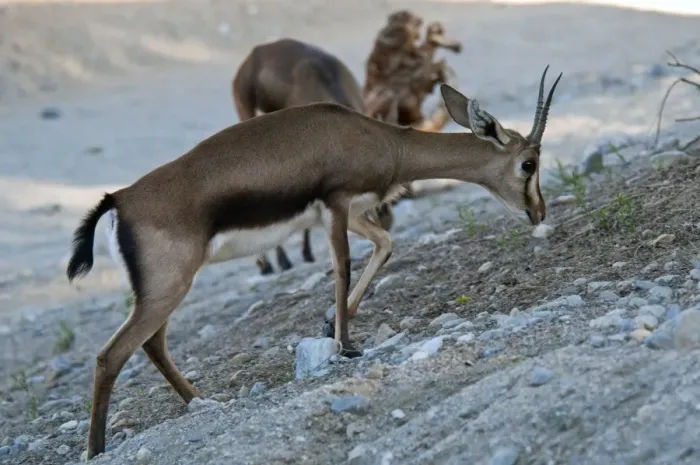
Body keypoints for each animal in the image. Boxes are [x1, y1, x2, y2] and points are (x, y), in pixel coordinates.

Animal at [66, 65, 561, 460]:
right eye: (528, 163)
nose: (539, 213)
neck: (384, 141)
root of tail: (119, 200)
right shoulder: (338, 206)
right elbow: (341, 267)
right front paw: (347, 345)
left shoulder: (356, 213)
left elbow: (386, 246)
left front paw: (330, 328)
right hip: (168, 288)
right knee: (110, 356)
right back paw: (96, 450)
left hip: (165, 291)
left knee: (151, 344)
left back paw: (203, 401)